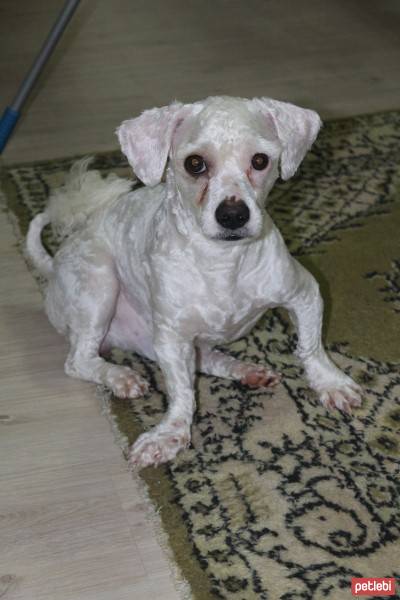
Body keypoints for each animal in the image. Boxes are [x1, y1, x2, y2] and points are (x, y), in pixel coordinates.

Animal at [25, 96, 362, 468]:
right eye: (195, 163)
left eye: (260, 160)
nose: (233, 215)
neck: (222, 262)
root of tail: (53, 265)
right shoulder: (172, 338)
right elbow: (182, 393)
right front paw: (169, 436)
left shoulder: (305, 293)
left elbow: (311, 348)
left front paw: (330, 384)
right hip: (100, 286)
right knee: (79, 360)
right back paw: (121, 377)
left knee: (207, 359)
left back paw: (245, 370)